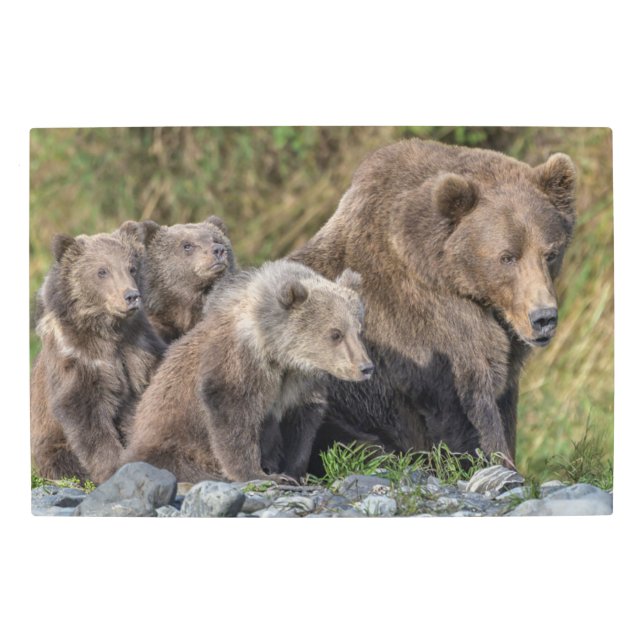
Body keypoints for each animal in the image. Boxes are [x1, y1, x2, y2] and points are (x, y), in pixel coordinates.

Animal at [30, 226, 167, 484]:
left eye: (132, 267)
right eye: (102, 271)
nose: (131, 296)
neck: (108, 331)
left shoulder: (138, 350)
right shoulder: (79, 360)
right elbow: (86, 415)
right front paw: (112, 466)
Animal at [121, 259, 373, 484]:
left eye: (359, 330)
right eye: (335, 333)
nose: (366, 367)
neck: (278, 352)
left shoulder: (299, 383)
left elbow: (301, 425)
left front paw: (293, 473)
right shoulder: (241, 362)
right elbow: (233, 413)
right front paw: (259, 474)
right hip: (170, 443)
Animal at [289, 138, 577, 469]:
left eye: (551, 253)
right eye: (507, 257)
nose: (543, 317)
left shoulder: (506, 339)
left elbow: (505, 401)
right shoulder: (428, 327)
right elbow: (470, 406)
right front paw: (497, 462)